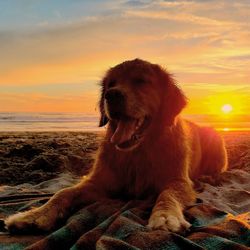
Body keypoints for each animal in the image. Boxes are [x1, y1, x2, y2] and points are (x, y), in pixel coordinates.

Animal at [4, 59, 228, 234]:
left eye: (141, 81)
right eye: (111, 83)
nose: (111, 95)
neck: (138, 152)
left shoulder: (177, 181)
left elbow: (167, 194)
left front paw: (166, 216)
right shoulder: (98, 181)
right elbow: (63, 192)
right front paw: (35, 215)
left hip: (216, 140)